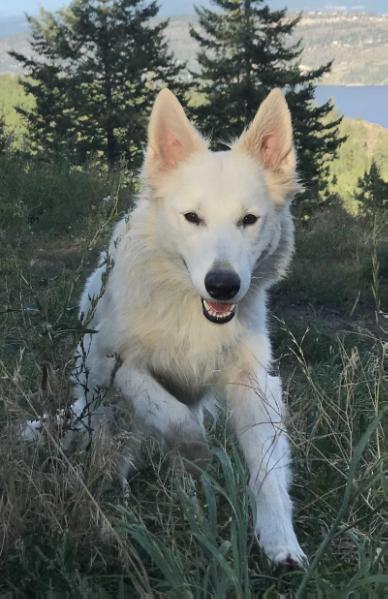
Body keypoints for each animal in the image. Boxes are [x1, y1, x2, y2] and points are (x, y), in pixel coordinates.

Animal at [26, 88, 306, 568]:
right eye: (192, 217)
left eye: (249, 220)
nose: (223, 285)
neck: (189, 307)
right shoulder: (118, 364)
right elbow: (177, 421)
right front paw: (197, 455)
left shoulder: (254, 382)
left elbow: (267, 468)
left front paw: (280, 541)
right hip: (104, 411)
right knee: (114, 457)